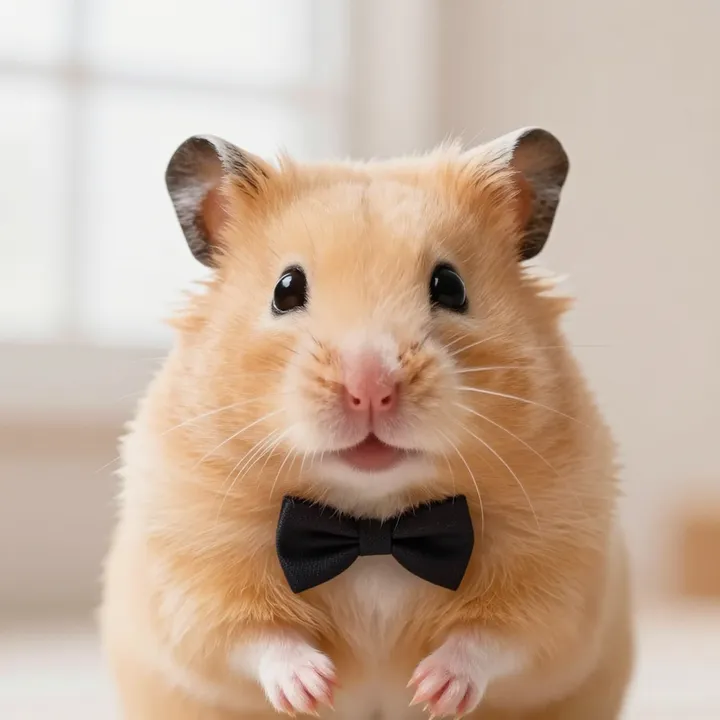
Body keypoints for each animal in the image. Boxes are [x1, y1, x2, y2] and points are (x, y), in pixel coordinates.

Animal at [100, 128, 633, 720]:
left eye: (450, 286)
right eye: (286, 289)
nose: (371, 388)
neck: (373, 526)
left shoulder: (559, 579)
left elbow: (496, 638)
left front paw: (433, 690)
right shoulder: (193, 574)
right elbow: (253, 637)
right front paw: (313, 688)